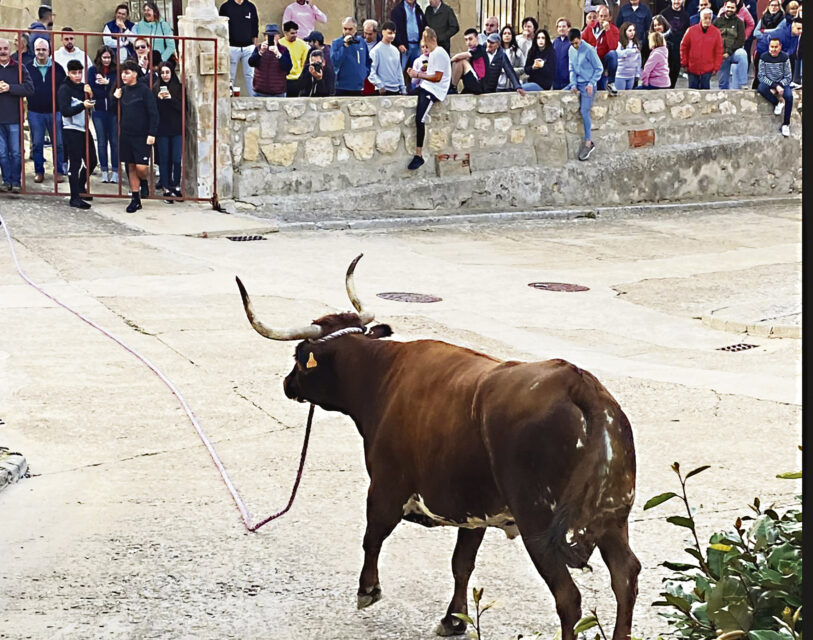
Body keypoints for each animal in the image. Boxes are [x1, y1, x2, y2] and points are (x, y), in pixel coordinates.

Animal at [235, 255, 640, 640]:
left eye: (298, 358)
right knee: (626, 576)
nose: (288, 384)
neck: (380, 375)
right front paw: (454, 619)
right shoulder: (473, 507)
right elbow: (462, 563)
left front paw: (368, 590)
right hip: (612, 518)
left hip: (539, 525)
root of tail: (578, 384)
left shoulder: (385, 487)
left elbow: (372, 535)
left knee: (569, 598)